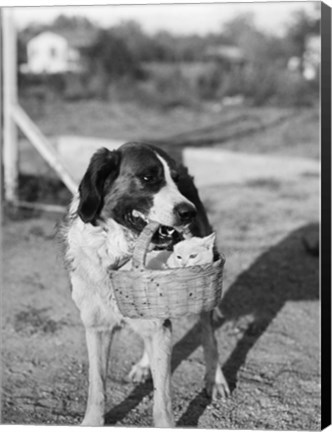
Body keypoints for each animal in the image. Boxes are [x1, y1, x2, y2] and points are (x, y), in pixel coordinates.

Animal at [61, 142, 230, 426]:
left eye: (175, 179)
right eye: (148, 178)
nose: (189, 211)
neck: (119, 252)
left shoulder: (158, 325)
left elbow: (162, 401)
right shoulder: (96, 326)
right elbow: (97, 386)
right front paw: (92, 422)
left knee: (208, 334)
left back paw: (214, 379)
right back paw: (144, 365)